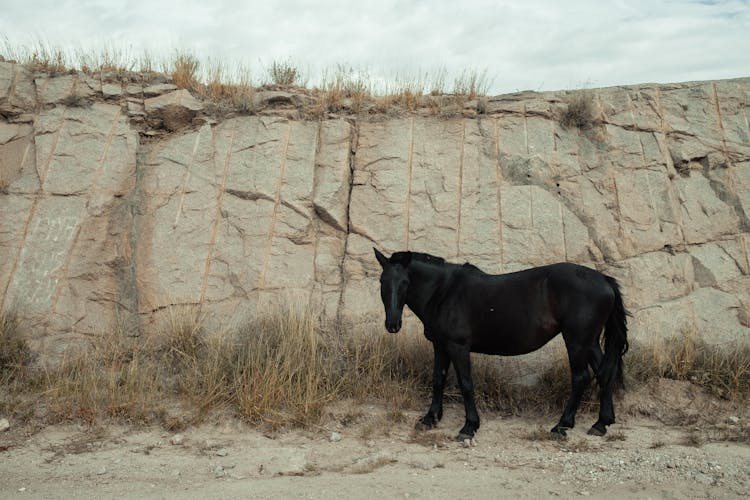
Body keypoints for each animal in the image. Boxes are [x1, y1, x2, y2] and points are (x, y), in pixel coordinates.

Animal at [374, 248, 628, 440]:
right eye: (382, 281)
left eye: (405, 282)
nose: (393, 324)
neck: (444, 291)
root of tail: (604, 280)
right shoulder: (440, 346)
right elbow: (438, 380)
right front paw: (430, 419)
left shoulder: (458, 347)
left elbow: (466, 383)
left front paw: (469, 427)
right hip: (590, 341)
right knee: (604, 373)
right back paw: (601, 423)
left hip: (576, 341)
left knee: (581, 377)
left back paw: (561, 426)